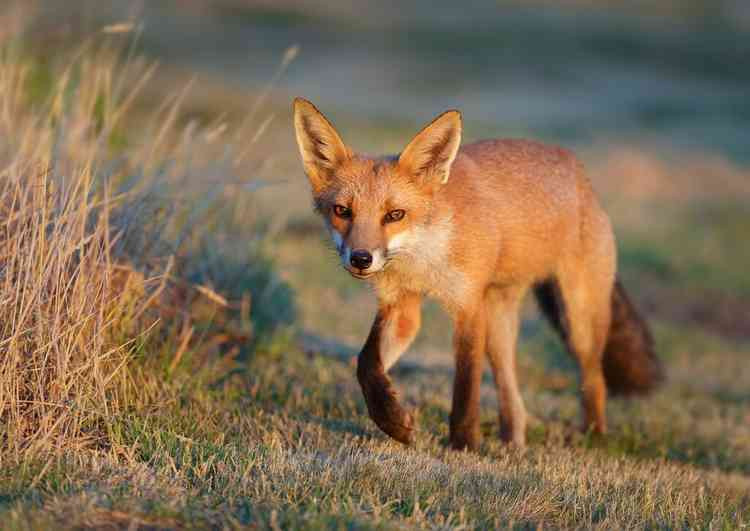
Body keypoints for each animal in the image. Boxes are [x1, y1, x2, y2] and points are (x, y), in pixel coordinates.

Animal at [294, 97, 664, 450]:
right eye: (342, 211)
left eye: (395, 215)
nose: (361, 258)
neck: (422, 259)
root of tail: (582, 176)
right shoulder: (401, 306)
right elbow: (367, 363)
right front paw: (392, 420)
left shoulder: (468, 307)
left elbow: (465, 386)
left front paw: (464, 445)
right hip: (500, 326)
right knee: (513, 398)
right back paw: (513, 444)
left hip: (578, 322)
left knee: (595, 379)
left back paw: (593, 437)